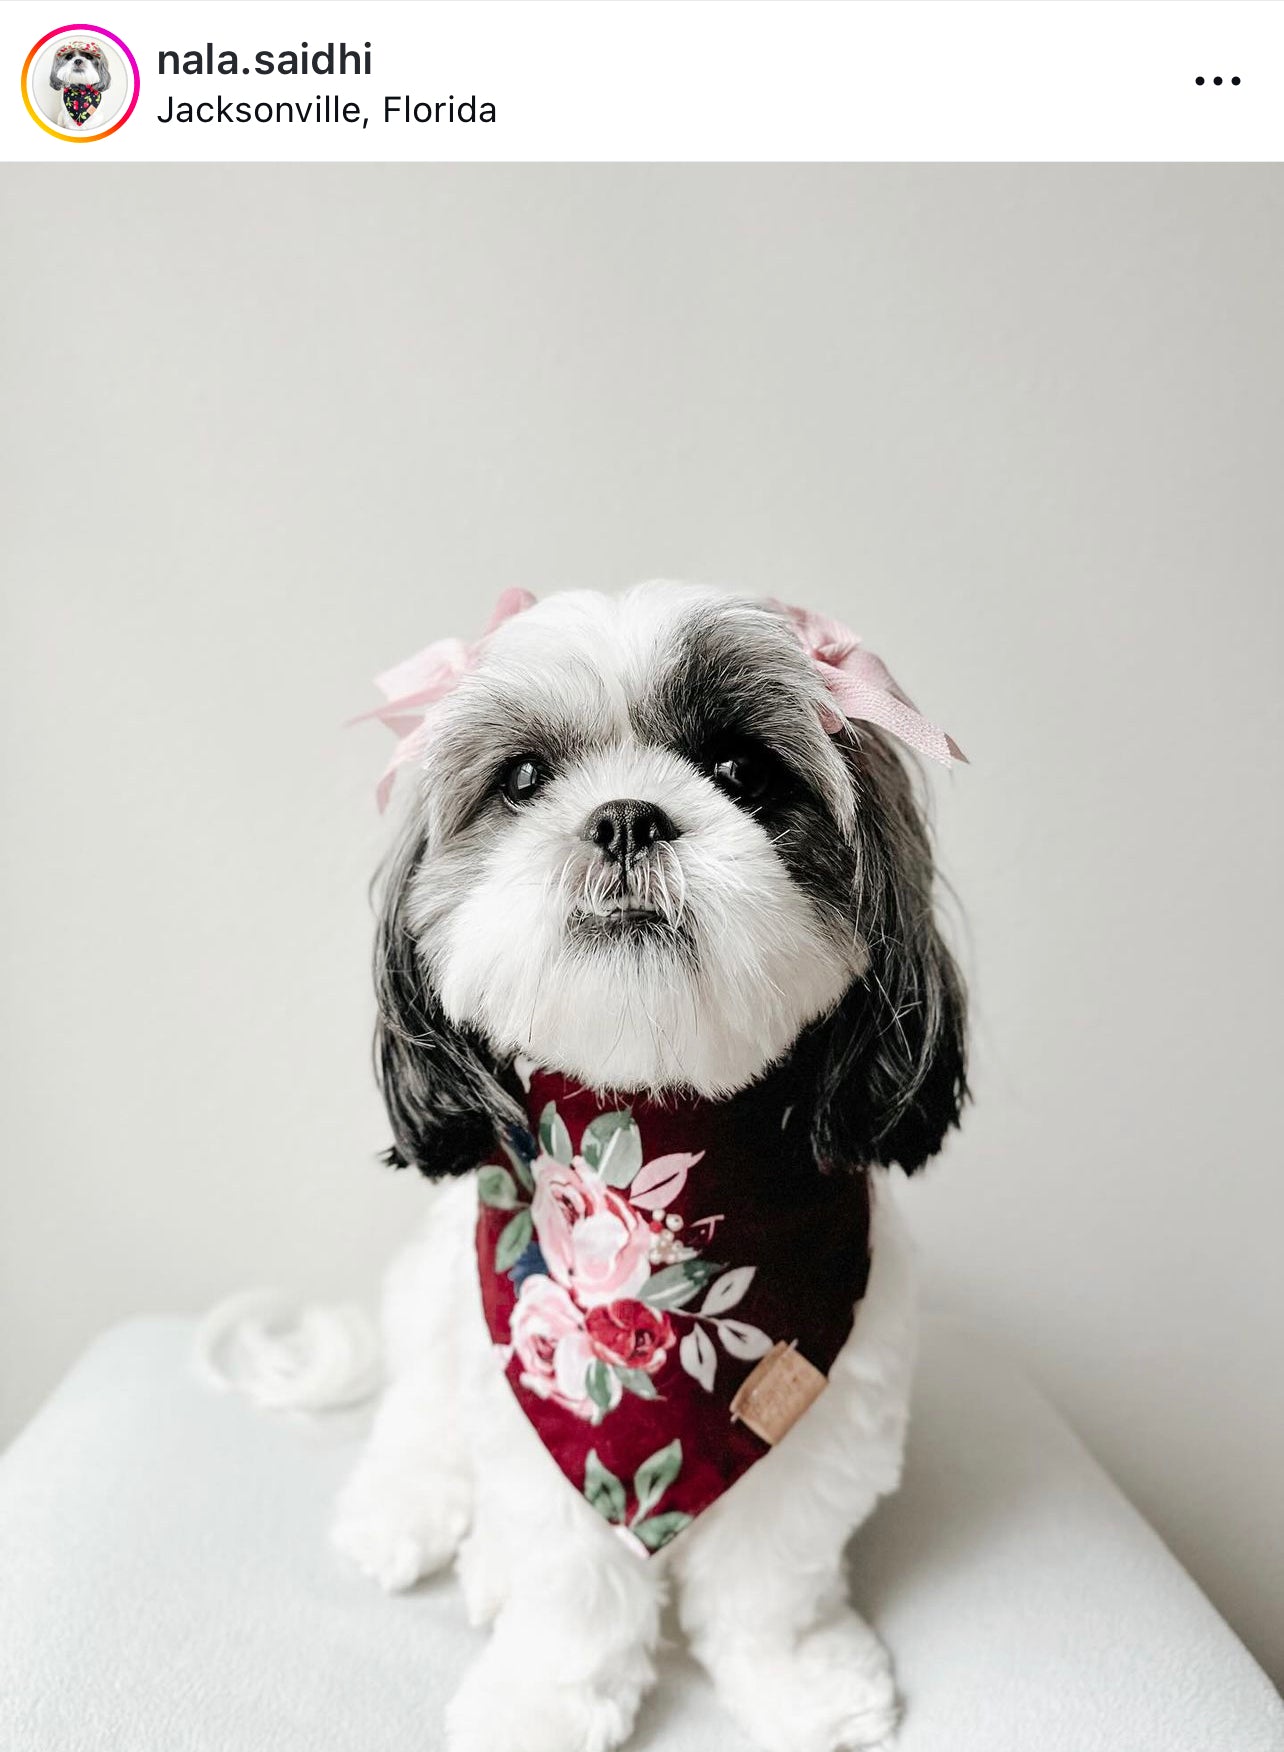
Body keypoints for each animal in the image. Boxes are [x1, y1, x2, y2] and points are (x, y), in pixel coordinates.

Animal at [331, 585, 959, 1752]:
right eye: (523, 778)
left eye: (745, 769)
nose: (626, 815)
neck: (663, 1136)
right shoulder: (543, 1412)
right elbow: (571, 1587)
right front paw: (539, 1702)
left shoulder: (823, 1416)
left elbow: (771, 1581)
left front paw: (800, 1681)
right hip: (439, 1311)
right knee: (420, 1415)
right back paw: (401, 1511)